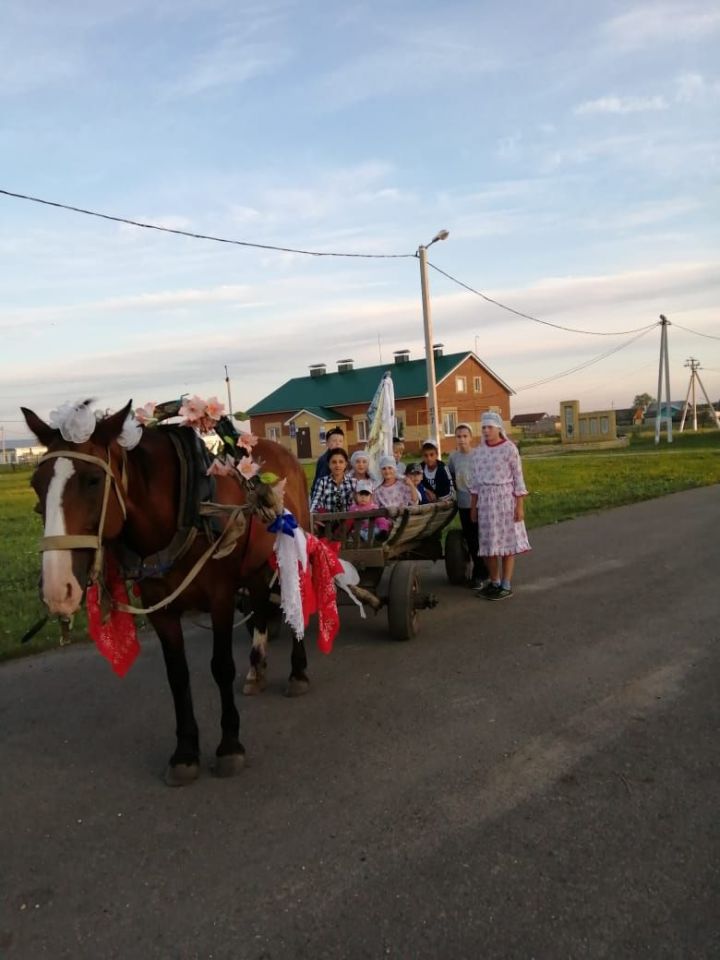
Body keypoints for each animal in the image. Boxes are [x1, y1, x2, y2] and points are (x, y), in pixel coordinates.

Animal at [21, 402, 310, 784]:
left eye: (93, 480)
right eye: (37, 484)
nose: (57, 589)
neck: (187, 510)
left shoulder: (220, 597)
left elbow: (221, 666)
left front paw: (229, 745)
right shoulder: (160, 609)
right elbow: (177, 675)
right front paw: (185, 752)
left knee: (297, 605)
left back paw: (298, 672)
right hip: (256, 564)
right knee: (262, 604)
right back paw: (257, 668)